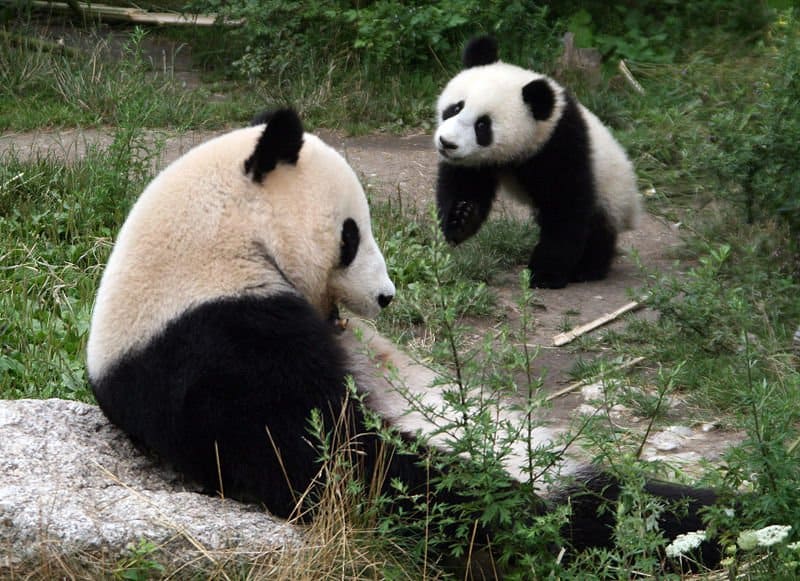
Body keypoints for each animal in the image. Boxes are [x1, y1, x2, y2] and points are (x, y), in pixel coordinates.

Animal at [89, 107, 720, 568]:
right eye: (351, 235)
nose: (386, 297)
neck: (217, 249)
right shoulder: (215, 348)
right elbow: (337, 457)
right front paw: (494, 494)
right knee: (600, 509)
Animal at [434, 35, 640, 288]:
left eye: (482, 125)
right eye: (455, 108)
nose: (447, 143)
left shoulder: (560, 144)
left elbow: (566, 207)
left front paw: (545, 273)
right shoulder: (474, 162)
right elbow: (465, 185)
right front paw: (461, 218)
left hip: (610, 191)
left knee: (598, 229)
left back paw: (588, 269)